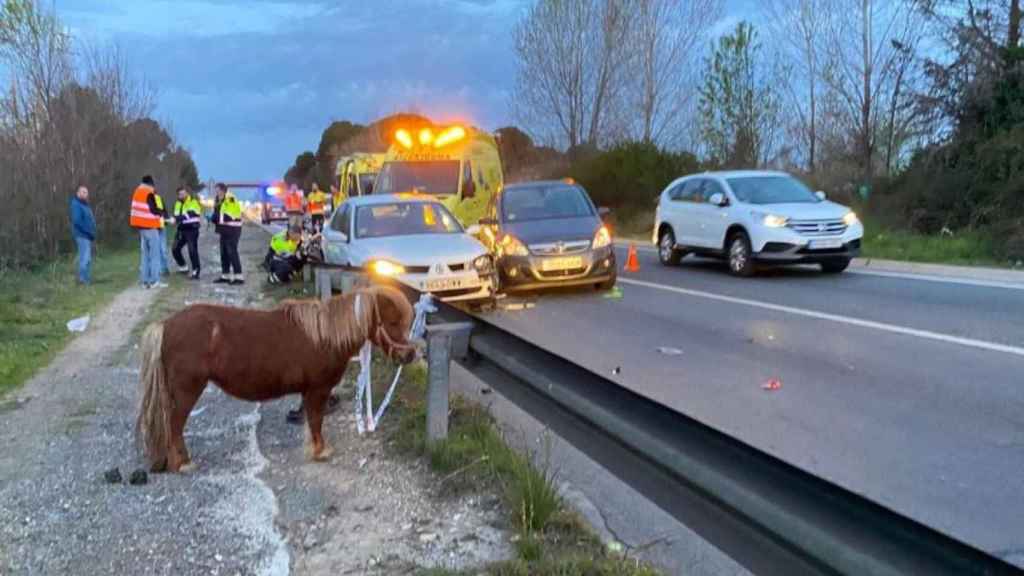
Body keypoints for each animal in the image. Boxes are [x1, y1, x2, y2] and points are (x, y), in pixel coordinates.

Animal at [136, 282, 415, 471]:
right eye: (392, 323)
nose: (410, 355)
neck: (325, 335)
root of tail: (166, 325)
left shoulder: (309, 391)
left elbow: (311, 420)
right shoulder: (318, 390)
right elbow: (316, 420)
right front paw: (321, 451)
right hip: (187, 390)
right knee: (174, 425)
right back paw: (183, 463)